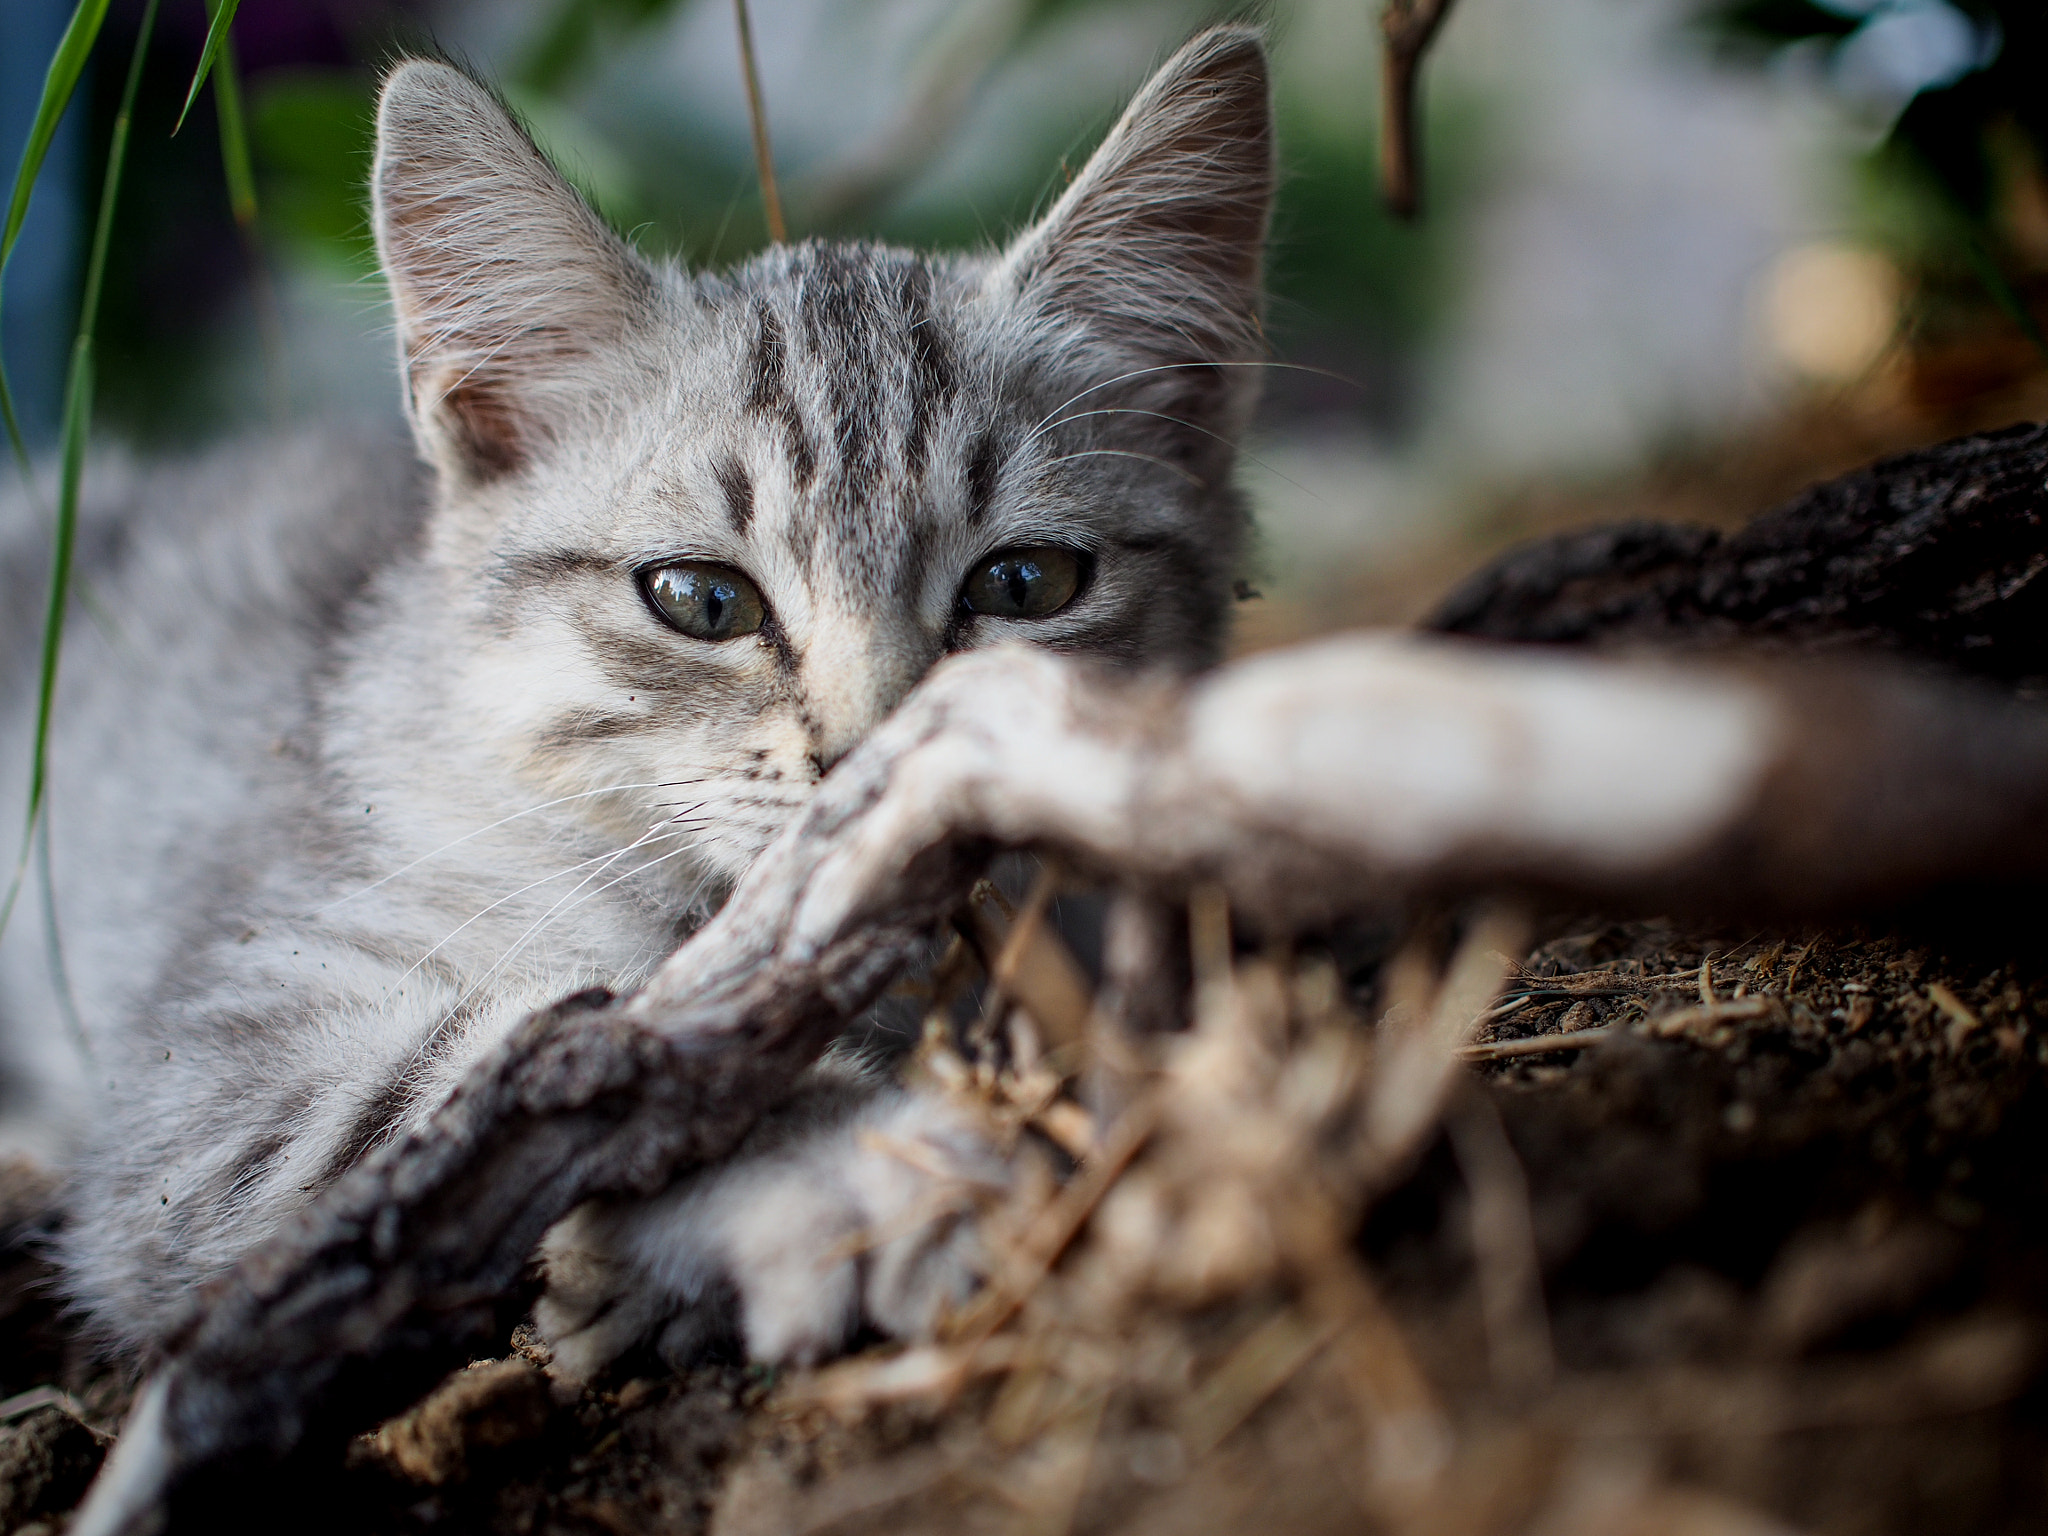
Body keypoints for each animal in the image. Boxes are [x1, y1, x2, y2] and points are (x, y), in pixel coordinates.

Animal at [0, 24, 1269, 1368]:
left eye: (1025, 585)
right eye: (703, 602)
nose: (876, 759)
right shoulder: (215, 1086)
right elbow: (544, 1073)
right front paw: (856, 1166)